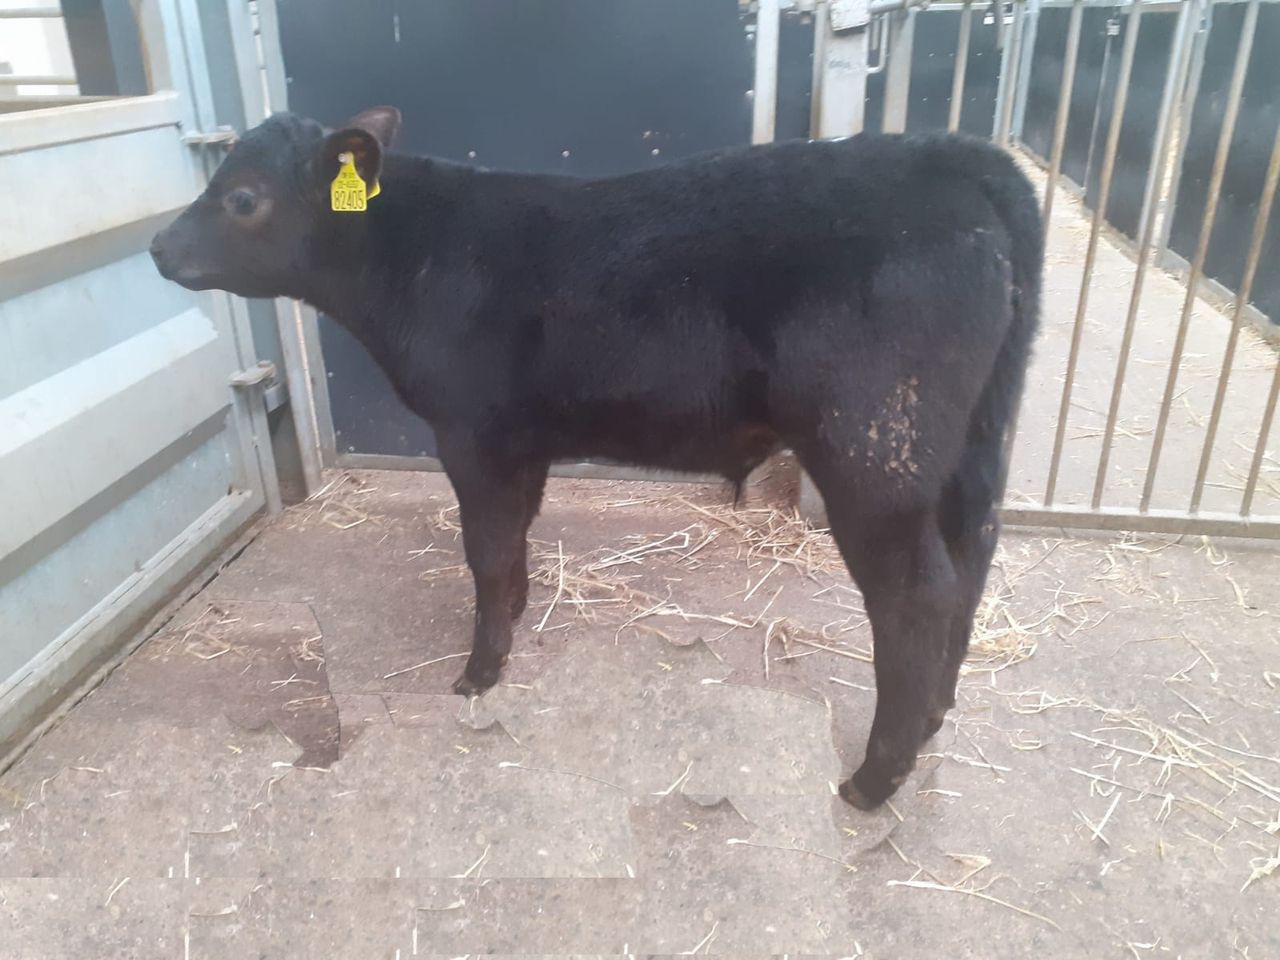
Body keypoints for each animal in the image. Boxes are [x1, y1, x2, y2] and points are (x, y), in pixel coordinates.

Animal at [151, 106, 1042, 808]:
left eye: (243, 197)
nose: (157, 247)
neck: (419, 257)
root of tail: (955, 153)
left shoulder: (472, 432)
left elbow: (484, 546)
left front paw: (479, 671)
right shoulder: (522, 440)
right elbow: (513, 542)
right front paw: (511, 624)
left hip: (874, 447)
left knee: (917, 595)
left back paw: (875, 777)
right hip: (972, 440)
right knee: (972, 555)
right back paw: (934, 717)